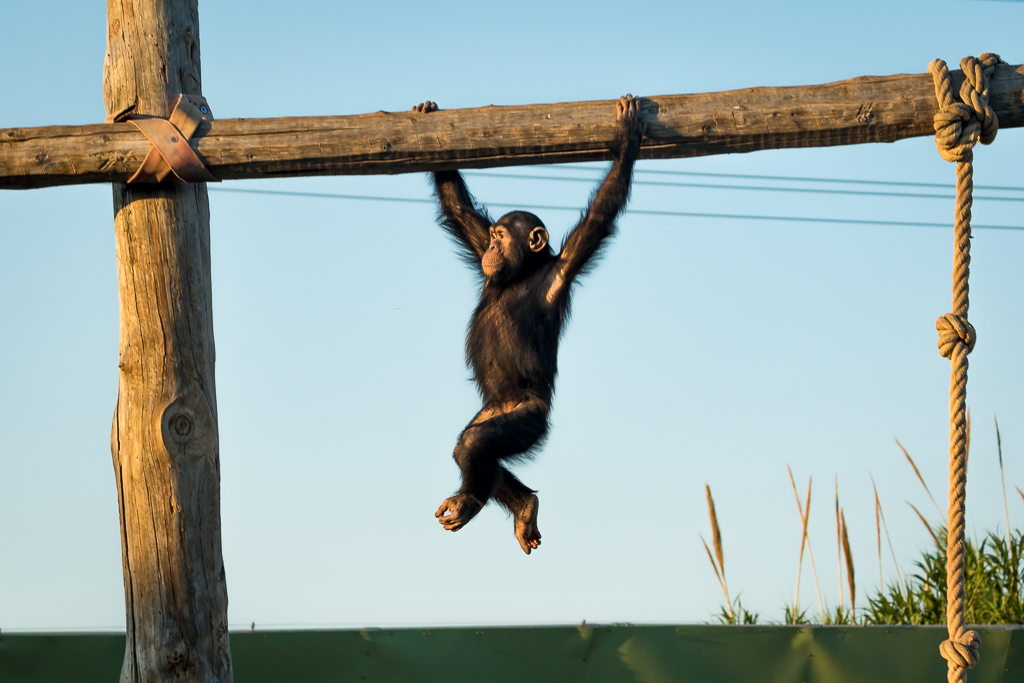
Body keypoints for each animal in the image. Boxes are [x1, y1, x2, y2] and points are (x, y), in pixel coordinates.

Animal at [411, 96, 643, 557]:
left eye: (504, 237)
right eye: (492, 236)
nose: (493, 247)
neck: (523, 272)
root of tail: (506, 403)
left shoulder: (565, 267)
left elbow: (600, 216)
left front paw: (627, 141)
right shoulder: (477, 244)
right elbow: (459, 209)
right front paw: (430, 114)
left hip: (528, 420)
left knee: (476, 446)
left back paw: (472, 501)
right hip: (491, 411)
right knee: (473, 450)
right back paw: (521, 506)